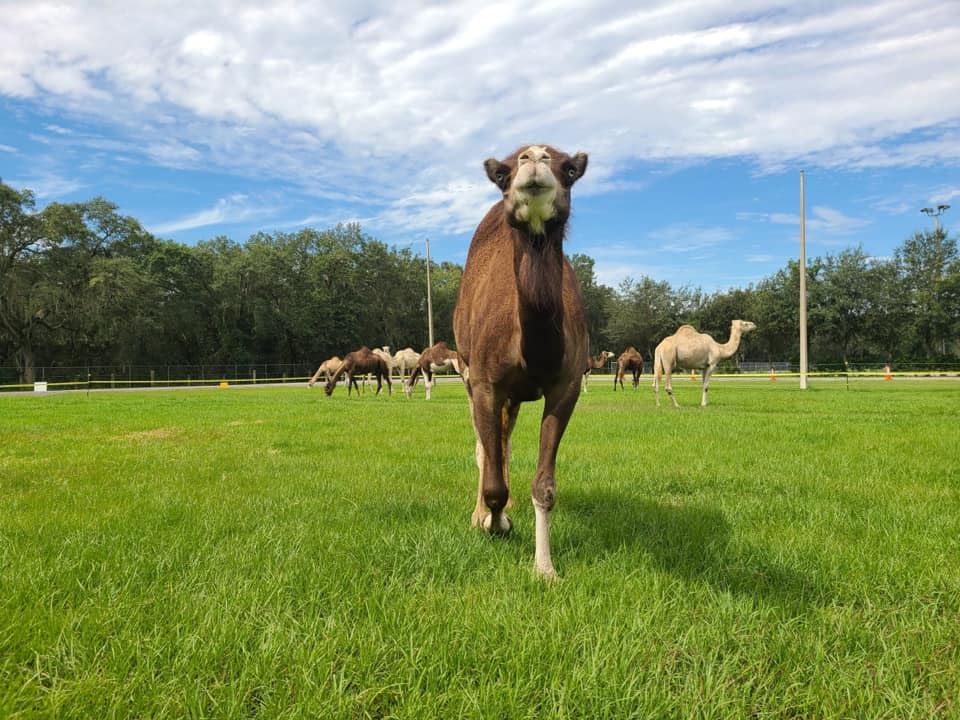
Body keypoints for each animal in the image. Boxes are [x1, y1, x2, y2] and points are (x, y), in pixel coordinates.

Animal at [452, 143, 592, 576]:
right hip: (467, 371)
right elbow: (492, 475)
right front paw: (493, 522)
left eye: (569, 168)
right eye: (502, 174)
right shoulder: (484, 383)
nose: (534, 157)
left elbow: (544, 485)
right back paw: (480, 514)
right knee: (487, 449)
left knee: (503, 441)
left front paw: (545, 568)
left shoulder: (566, 386)